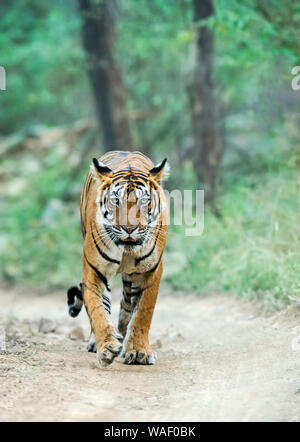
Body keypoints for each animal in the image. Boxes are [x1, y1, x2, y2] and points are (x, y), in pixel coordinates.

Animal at [67, 151, 169, 366]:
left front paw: (139, 351)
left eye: (144, 201)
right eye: (116, 201)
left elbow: (143, 312)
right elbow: (98, 310)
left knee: (127, 304)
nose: (129, 228)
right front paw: (106, 347)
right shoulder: (94, 271)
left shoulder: (151, 272)